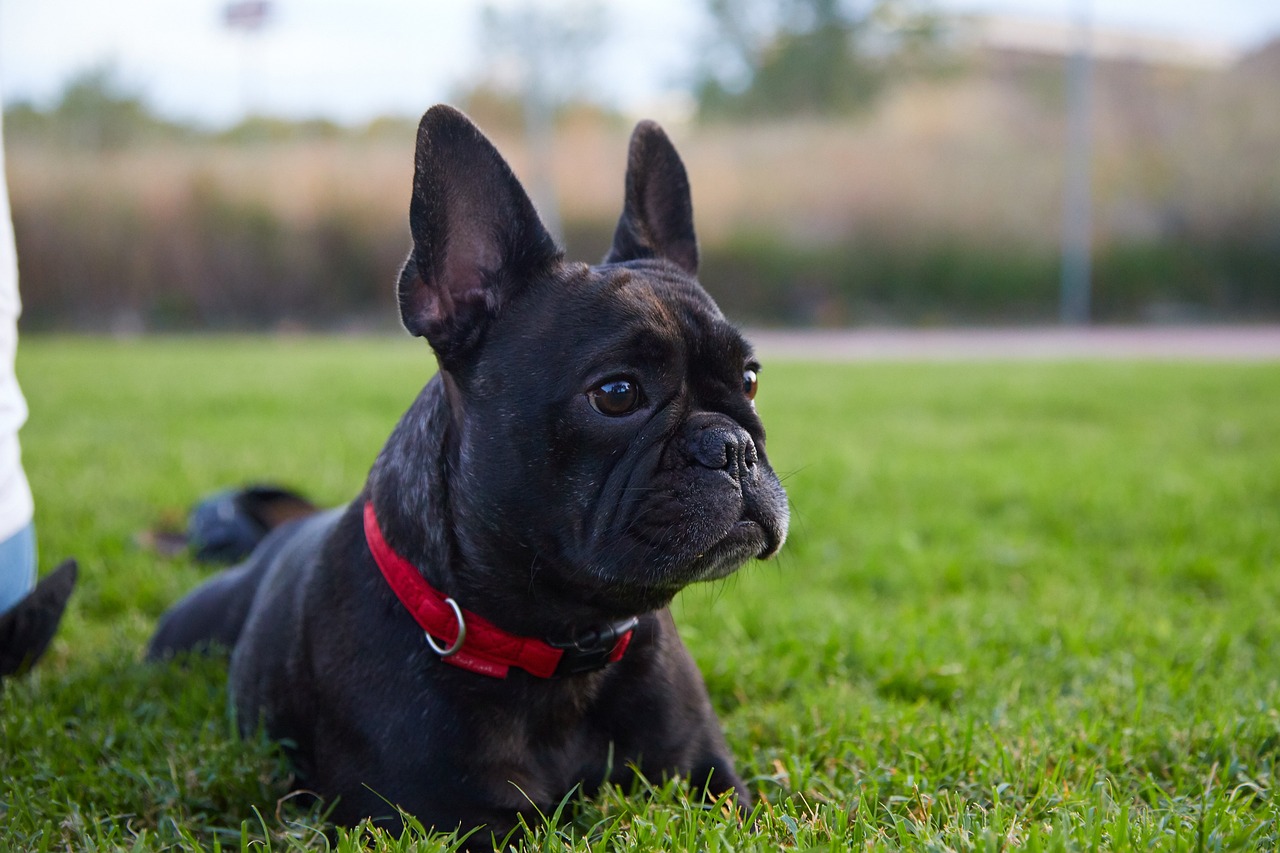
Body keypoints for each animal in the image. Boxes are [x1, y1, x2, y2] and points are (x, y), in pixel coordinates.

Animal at [149, 104, 788, 835]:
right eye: (617, 393)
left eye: (750, 379)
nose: (732, 447)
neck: (562, 644)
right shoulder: (443, 818)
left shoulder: (710, 781)